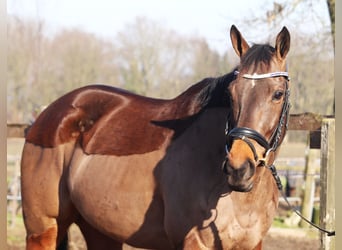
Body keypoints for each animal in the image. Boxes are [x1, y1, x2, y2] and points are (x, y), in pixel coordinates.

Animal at [20, 25, 290, 250]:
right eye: (231, 94)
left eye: (277, 94)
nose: (238, 168)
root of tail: (46, 118)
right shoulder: (193, 243)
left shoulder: (252, 245)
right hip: (42, 231)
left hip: (100, 231)